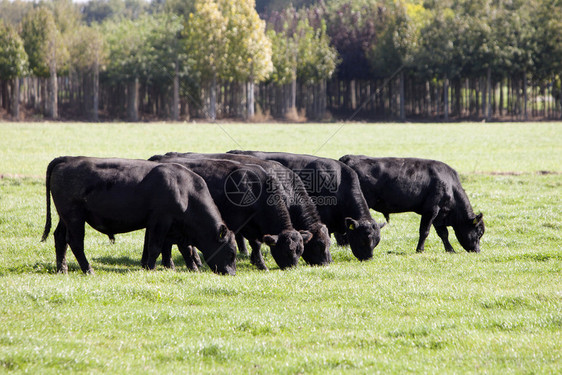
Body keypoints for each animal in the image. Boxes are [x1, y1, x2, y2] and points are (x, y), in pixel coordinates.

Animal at [40, 156, 236, 276]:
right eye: (231, 252)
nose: (231, 273)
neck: (186, 191)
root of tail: (68, 159)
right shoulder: (160, 221)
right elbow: (155, 247)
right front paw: (150, 268)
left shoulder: (173, 228)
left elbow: (184, 249)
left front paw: (193, 269)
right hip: (75, 218)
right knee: (75, 242)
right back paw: (88, 269)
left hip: (65, 217)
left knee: (60, 238)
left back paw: (62, 269)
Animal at [160, 153, 330, 268]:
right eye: (318, 245)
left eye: (300, 250)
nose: (326, 263)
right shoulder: (241, 224)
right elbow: (256, 244)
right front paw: (261, 264)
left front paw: (255, 261)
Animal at [340, 154, 484, 254]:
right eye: (478, 232)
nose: (477, 250)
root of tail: (348, 158)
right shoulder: (431, 210)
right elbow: (424, 231)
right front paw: (420, 249)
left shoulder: (439, 214)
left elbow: (443, 233)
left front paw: (450, 249)